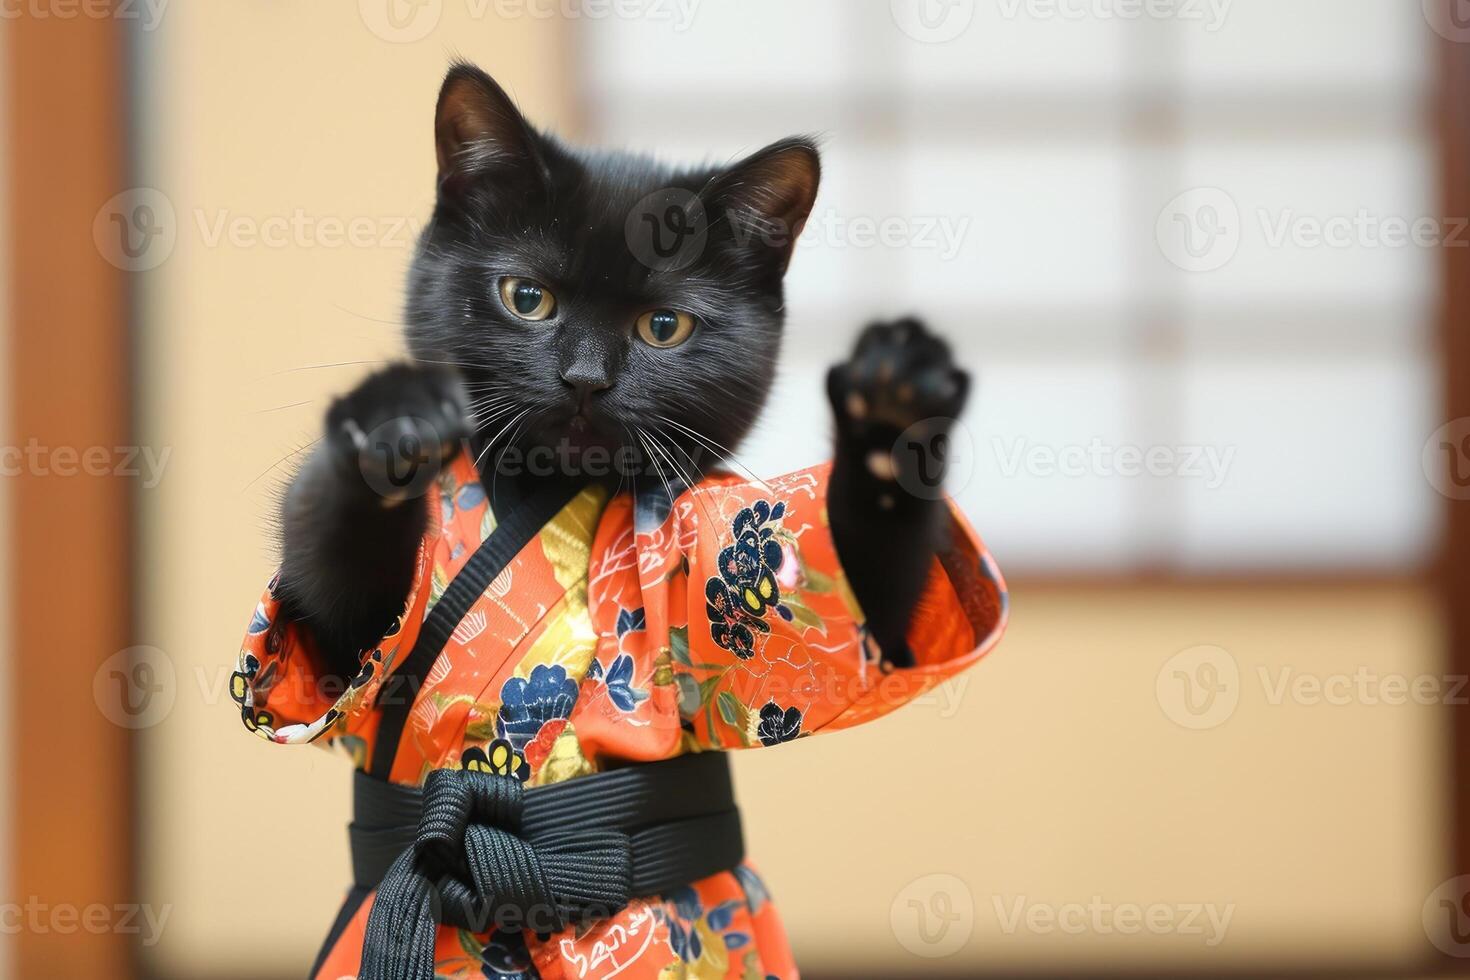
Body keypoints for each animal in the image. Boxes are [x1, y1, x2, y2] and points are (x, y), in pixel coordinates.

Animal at [279, 63, 970, 681]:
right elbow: (335, 597)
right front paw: (391, 418)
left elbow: (863, 600)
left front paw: (892, 404)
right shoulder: (338, 642)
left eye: (663, 327)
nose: (585, 378)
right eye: (526, 298)